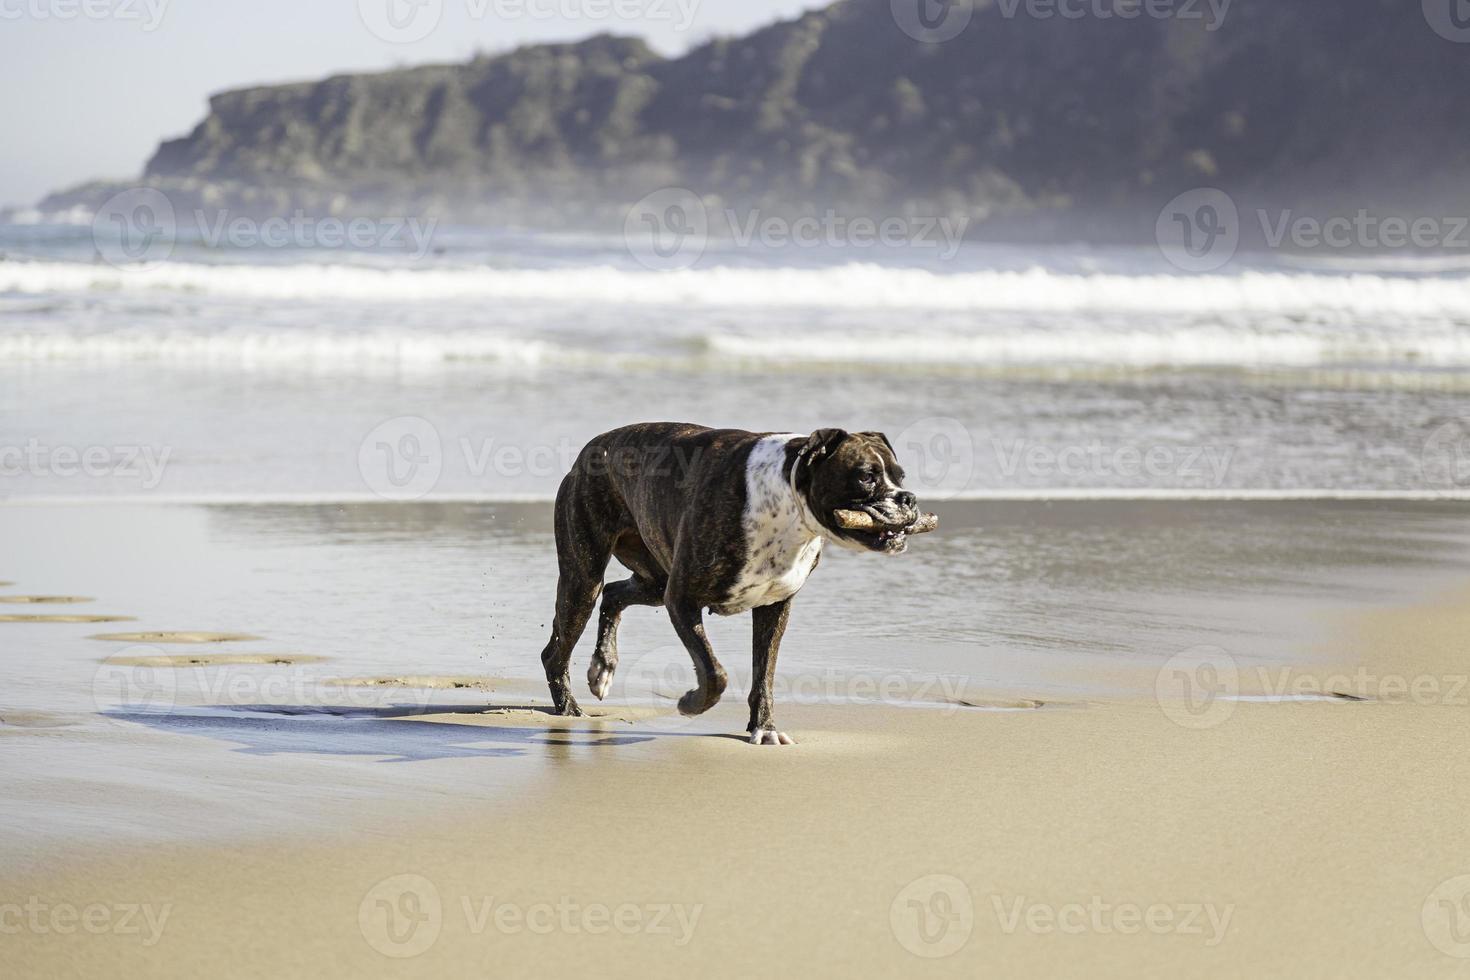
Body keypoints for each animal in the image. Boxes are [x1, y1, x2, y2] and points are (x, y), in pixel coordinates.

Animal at [538, 417, 929, 746]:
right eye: (866, 477)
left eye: (901, 476)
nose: (908, 498)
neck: (787, 503)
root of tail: (591, 449)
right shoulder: (682, 600)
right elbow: (715, 673)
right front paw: (691, 703)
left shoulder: (773, 607)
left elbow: (764, 676)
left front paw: (765, 728)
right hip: (583, 579)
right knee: (556, 650)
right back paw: (569, 709)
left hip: (655, 581)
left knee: (614, 593)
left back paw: (603, 667)